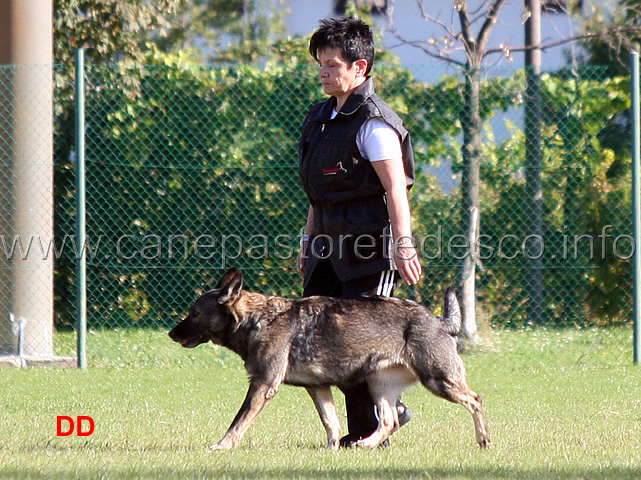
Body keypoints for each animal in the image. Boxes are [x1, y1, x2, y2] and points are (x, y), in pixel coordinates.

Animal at [169, 268, 490, 452]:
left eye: (194, 313)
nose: (172, 333)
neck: (258, 319)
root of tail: (437, 320)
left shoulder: (263, 385)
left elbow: (238, 422)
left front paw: (222, 446)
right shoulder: (318, 388)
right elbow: (331, 423)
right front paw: (331, 450)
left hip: (438, 380)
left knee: (475, 399)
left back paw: (483, 439)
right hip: (379, 386)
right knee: (388, 420)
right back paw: (366, 444)